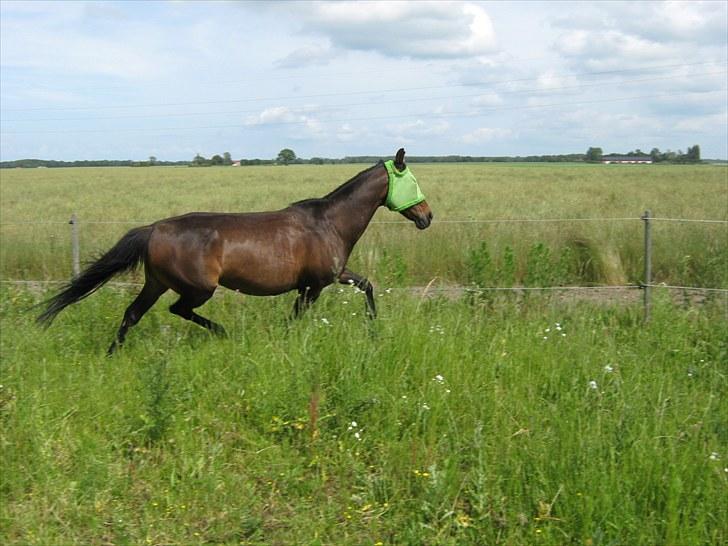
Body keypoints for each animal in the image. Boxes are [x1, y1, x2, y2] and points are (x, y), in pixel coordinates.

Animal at [37, 148, 432, 352]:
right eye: (413, 181)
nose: (428, 216)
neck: (329, 223)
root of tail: (154, 229)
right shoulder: (317, 284)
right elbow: (298, 317)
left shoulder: (331, 277)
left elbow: (366, 285)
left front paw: (373, 326)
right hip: (197, 288)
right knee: (178, 309)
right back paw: (222, 332)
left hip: (156, 282)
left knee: (132, 314)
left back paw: (112, 354)